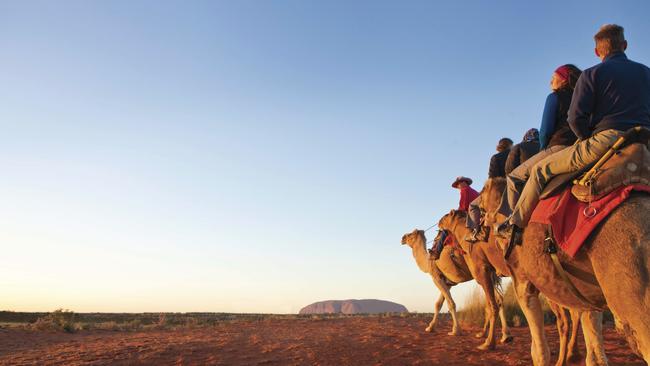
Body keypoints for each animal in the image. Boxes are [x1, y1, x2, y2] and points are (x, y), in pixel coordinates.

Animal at [480, 177, 648, 364]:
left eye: (482, 197)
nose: (482, 226)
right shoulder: (587, 297)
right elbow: (596, 353)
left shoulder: (522, 282)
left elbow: (539, 351)